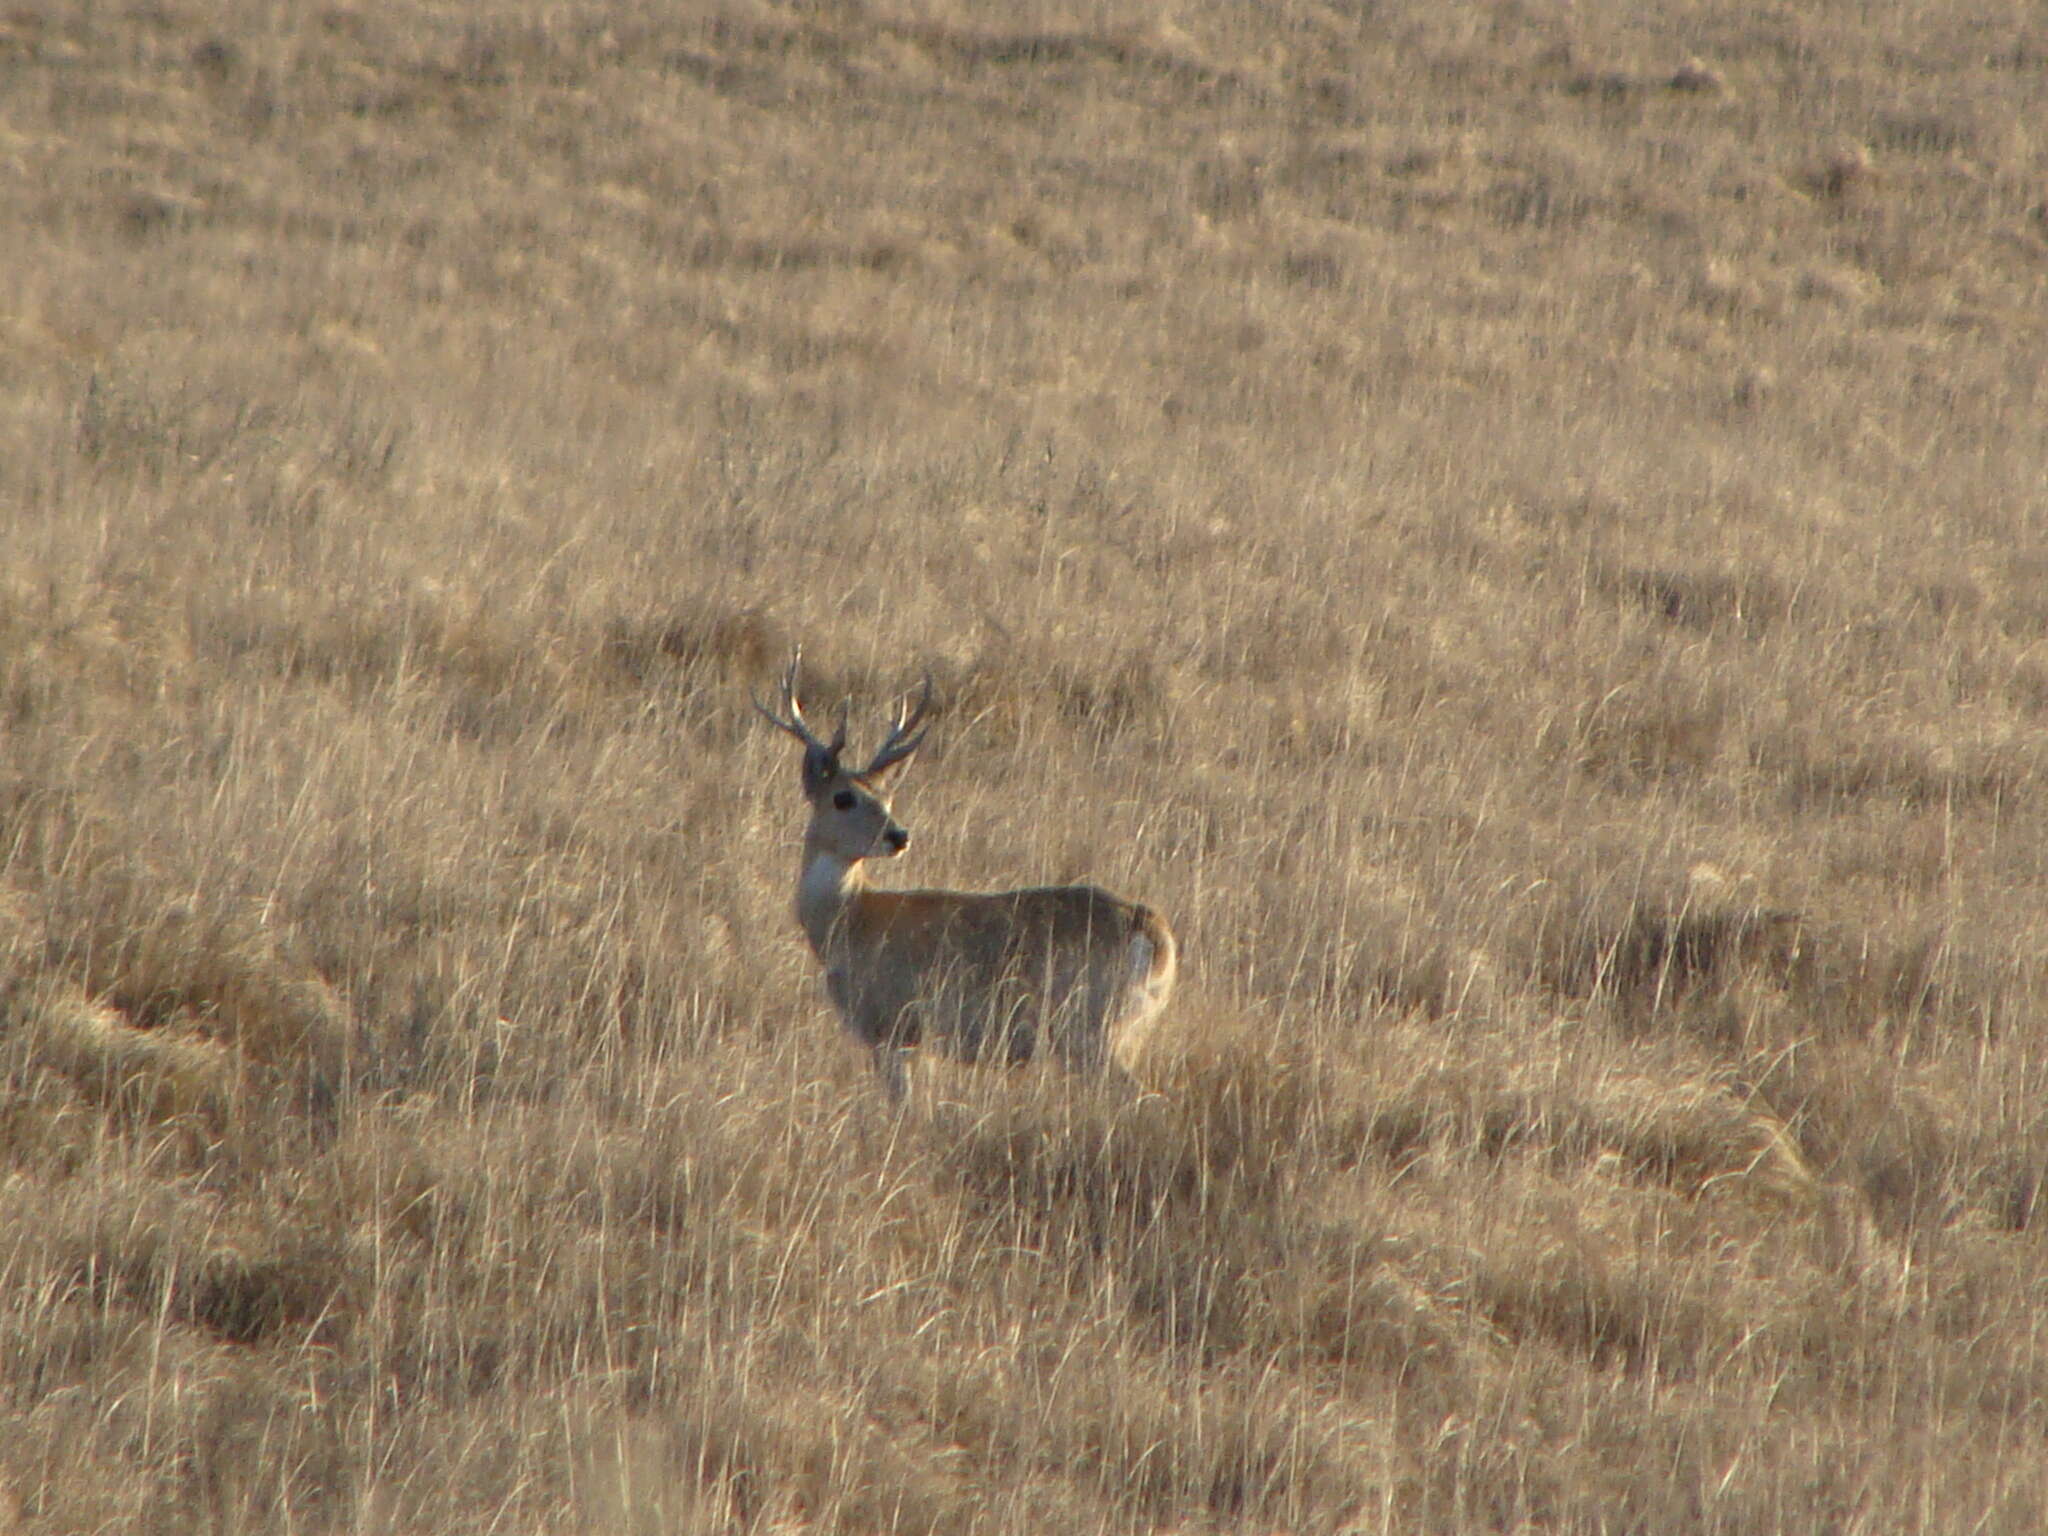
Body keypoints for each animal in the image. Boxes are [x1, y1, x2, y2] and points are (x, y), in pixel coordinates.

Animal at [753, 655, 1179, 1097]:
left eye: (886, 797)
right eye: (843, 797)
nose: (899, 835)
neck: (849, 921)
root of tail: (1154, 931)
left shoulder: (893, 1026)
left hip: (1090, 1027)